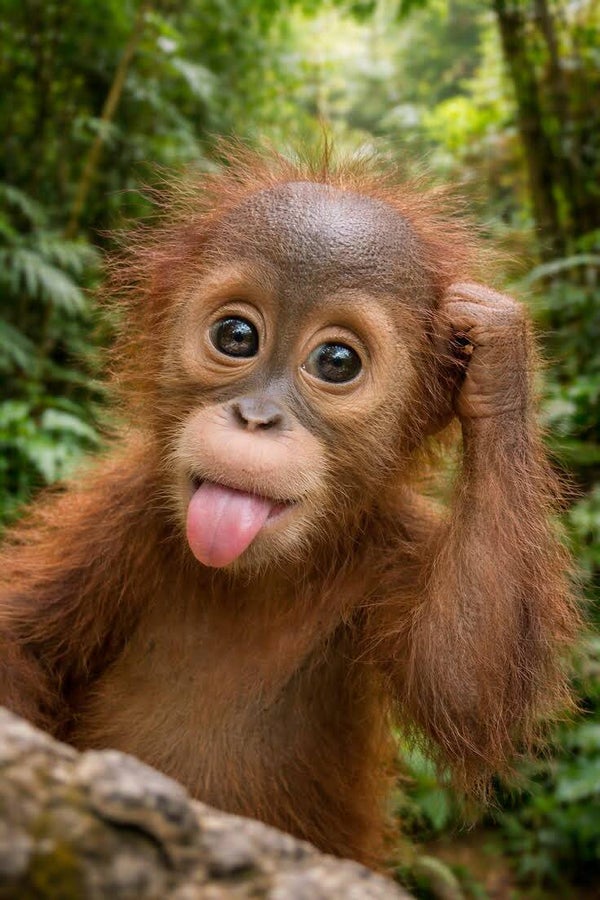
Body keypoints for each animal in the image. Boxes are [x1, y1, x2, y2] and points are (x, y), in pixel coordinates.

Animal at [0, 147, 578, 869]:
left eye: (335, 361)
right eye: (236, 335)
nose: (256, 417)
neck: (252, 574)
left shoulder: (394, 547)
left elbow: (464, 681)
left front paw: (499, 361)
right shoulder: (120, 510)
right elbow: (22, 642)